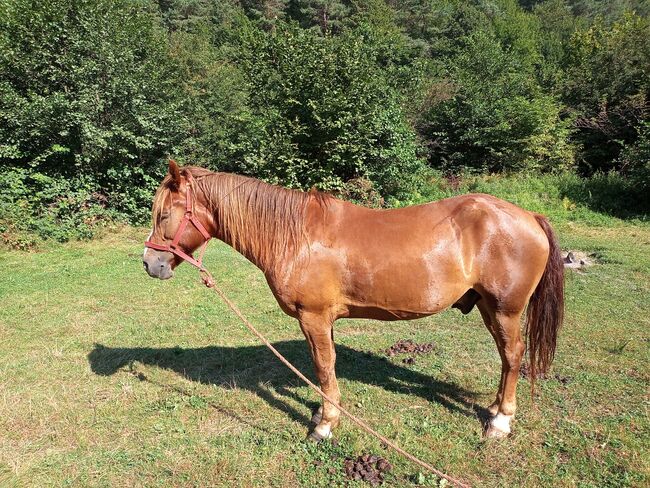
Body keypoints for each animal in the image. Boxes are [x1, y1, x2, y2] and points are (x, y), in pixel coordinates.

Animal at [143, 162, 560, 440]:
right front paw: (322, 415)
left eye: (164, 215)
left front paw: (325, 425)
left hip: (505, 309)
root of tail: (530, 216)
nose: (150, 263)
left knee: (513, 355)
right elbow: (324, 369)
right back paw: (493, 409)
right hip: (489, 308)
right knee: (506, 358)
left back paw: (501, 422)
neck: (295, 236)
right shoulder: (321, 320)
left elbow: (324, 367)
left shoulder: (313, 317)